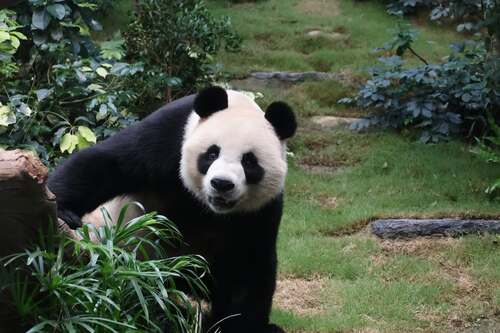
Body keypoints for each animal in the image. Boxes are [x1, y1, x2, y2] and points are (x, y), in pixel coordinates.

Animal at [47, 86, 296, 332]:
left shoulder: (260, 210)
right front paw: (62, 210)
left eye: (249, 161)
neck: (206, 208)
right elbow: (105, 164)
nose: (222, 184)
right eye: (212, 153)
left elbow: (247, 268)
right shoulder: (167, 138)